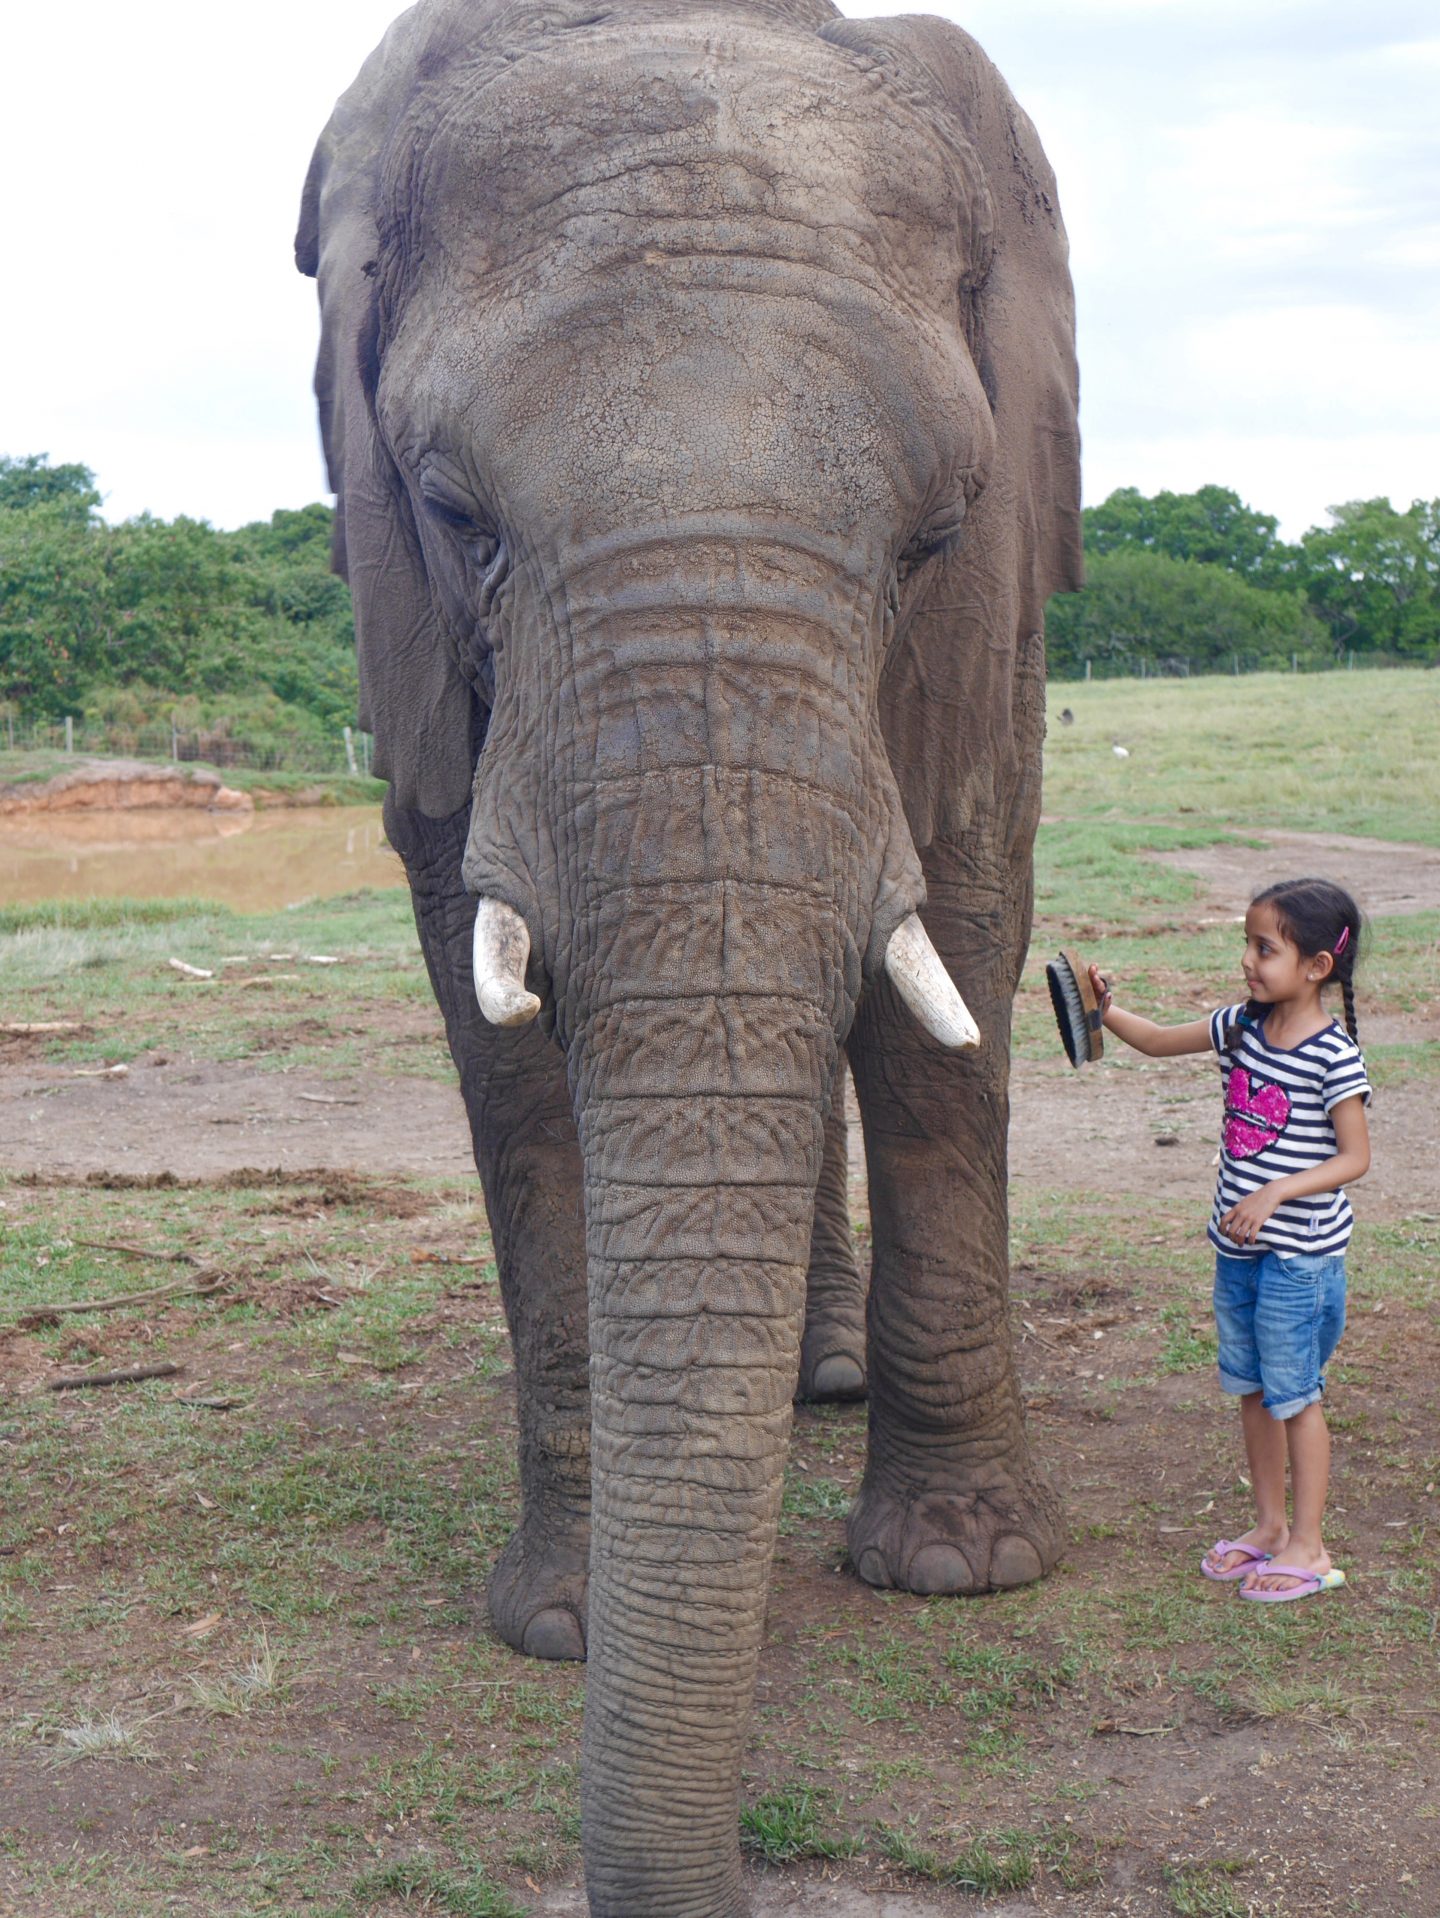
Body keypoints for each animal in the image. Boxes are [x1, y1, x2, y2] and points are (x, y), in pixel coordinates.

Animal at [296, 1, 1080, 1911]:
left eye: (935, 533)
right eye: (452, 510)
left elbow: (954, 938)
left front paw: (961, 1568)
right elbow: (499, 1026)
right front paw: (562, 1626)